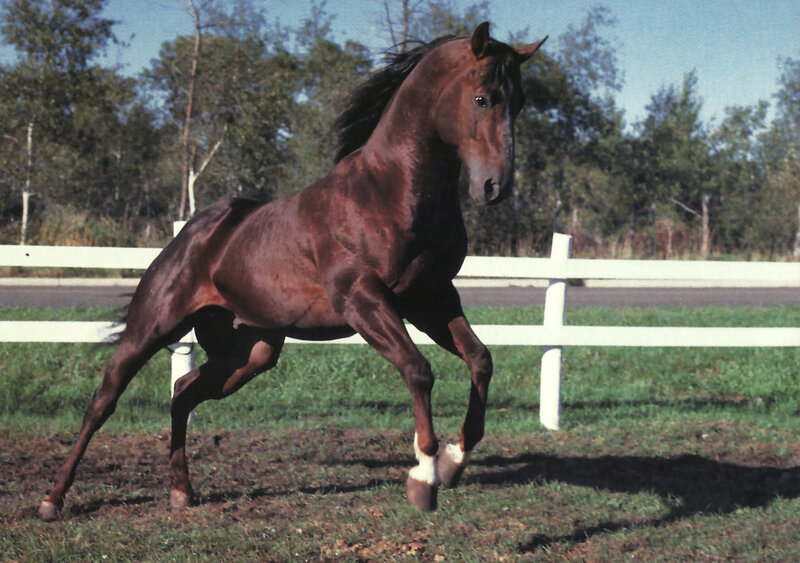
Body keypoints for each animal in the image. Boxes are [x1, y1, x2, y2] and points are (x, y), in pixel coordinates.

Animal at [38, 22, 546, 520]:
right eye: (481, 98)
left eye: (520, 101)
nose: (495, 187)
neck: (389, 193)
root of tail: (190, 235)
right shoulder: (364, 300)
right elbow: (418, 370)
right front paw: (424, 478)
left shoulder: (431, 297)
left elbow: (480, 359)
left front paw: (456, 462)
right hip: (152, 328)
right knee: (103, 401)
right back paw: (52, 500)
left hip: (250, 352)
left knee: (182, 391)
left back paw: (182, 491)